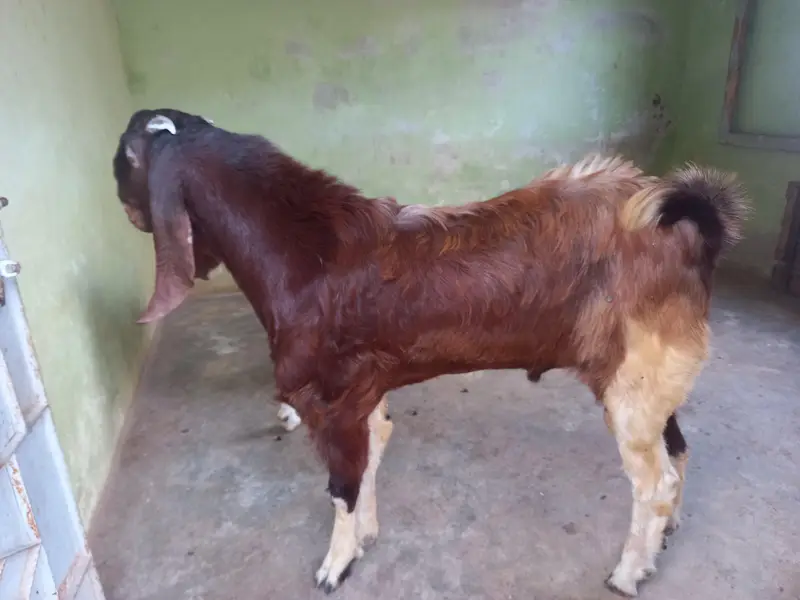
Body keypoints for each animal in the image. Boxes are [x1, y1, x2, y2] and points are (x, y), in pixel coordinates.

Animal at [113, 108, 749, 597]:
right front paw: (367, 537)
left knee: (654, 482)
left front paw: (335, 565)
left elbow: (342, 485)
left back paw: (628, 572)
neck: (302, 252)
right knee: (677, 450)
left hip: (634, 382)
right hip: (653, 377)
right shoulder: (364, 390)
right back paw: (665, 537)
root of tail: (691, 226)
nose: (126, 209)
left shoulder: (329, 399)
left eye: (123, 158)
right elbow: (373, 455)